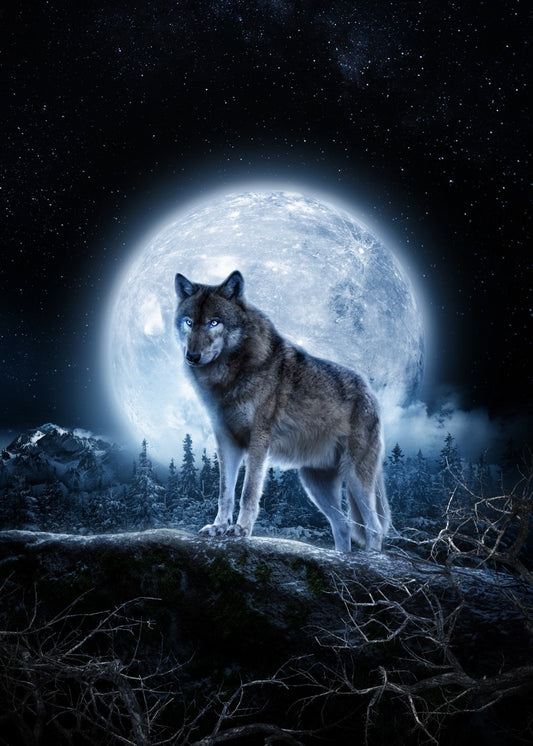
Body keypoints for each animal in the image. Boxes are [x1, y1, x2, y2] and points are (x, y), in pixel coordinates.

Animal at [174, 270, 390, 552]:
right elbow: (225, 493)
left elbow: (248, 491)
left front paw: (241, 530)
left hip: (355, 478)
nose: (192, 356)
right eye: (189, 322)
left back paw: (371, 557)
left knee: (374, 528)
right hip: (314, 484)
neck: (228, 377)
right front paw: (219, 526)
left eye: (214, 322)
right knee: (343, 525)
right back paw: (342, 557)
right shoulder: (227, 442)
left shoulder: (258, 439)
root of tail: (371, 393)